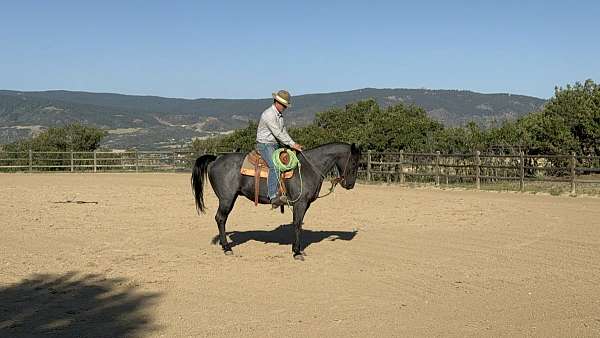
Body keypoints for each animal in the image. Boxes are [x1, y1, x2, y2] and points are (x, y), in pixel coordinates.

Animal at [192, 141, 360, 260]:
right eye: (354, 162)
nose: (350, 185)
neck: (309, 168)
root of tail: (216, 158)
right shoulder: (300, 203)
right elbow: (297, 224)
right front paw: (297, 252)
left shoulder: (304, 204)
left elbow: (297, 224)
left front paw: (296, 249)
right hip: (226, 198)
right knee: (220, 218)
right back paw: (227, 248)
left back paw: (223, 244)